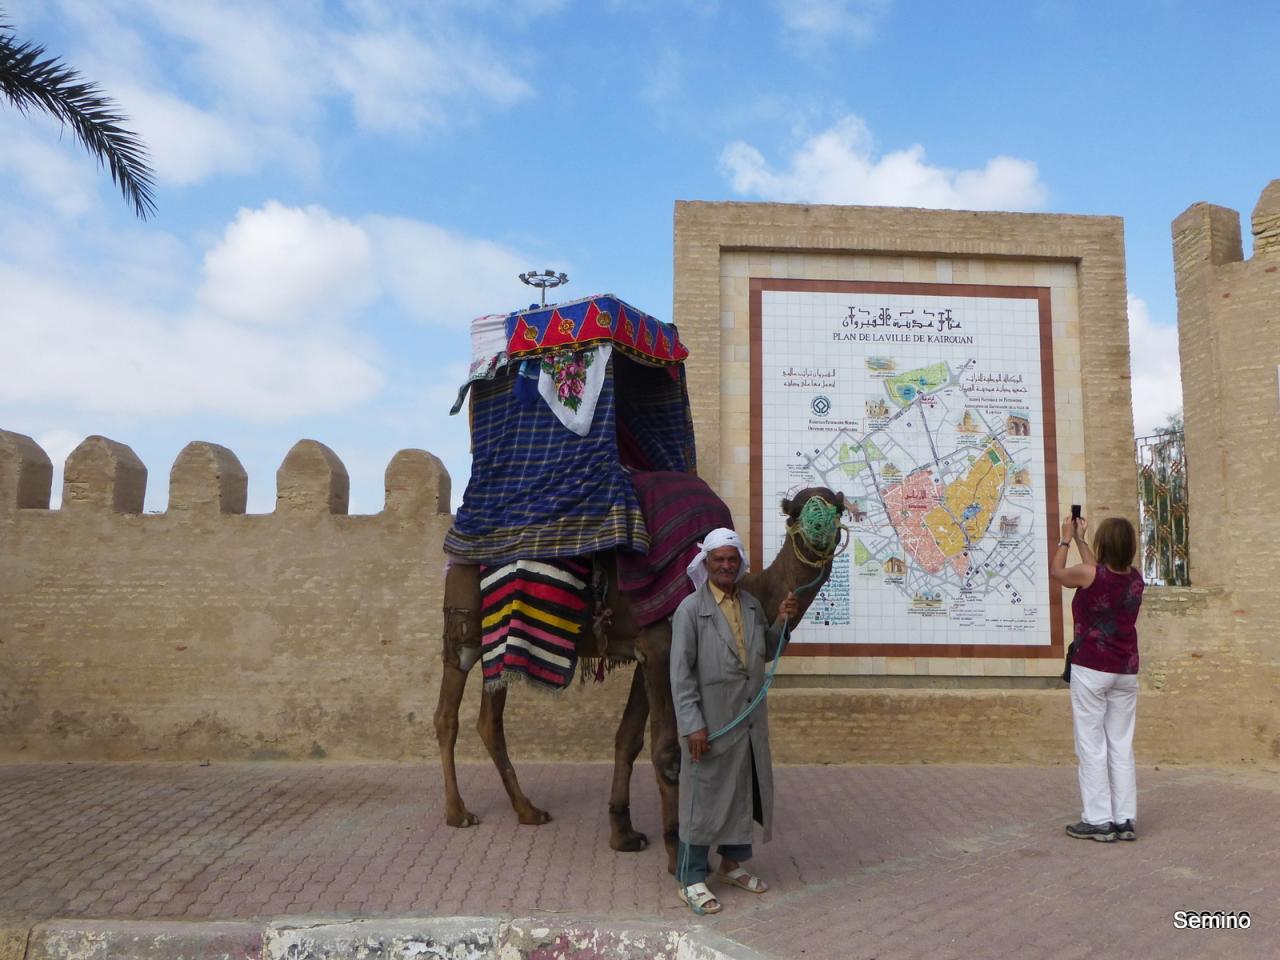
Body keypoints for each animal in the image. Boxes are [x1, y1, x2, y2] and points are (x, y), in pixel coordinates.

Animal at [435, 488, 844, 870]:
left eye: (837, 507)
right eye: (797, 510)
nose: (820, 530)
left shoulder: (642, 654)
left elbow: (627, 739)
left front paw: (624, 834)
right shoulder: (661, 645)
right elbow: (666, 752)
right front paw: (677, 855)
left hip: (499, 643)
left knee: (488, 719)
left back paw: (528, 811)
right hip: (467, 629)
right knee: (447, 715)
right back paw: (458, 813)